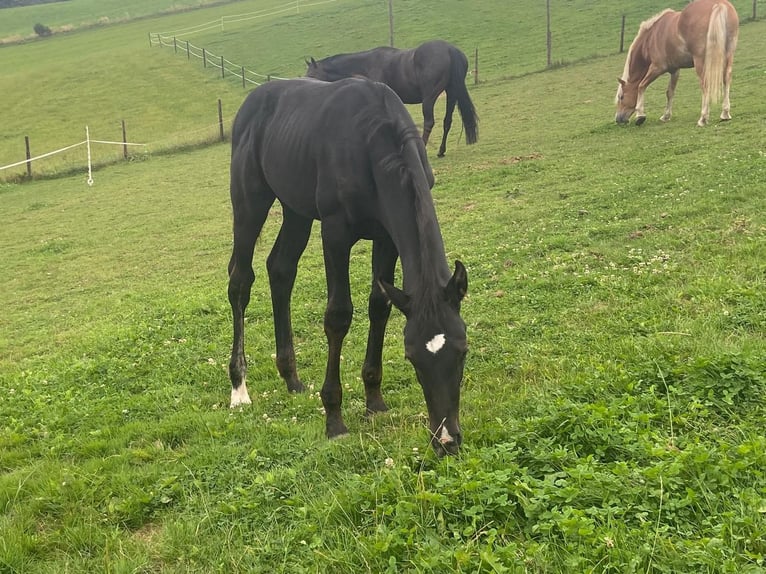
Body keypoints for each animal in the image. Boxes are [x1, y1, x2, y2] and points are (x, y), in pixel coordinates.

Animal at [225, 76, 472, 456]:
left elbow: (379, 306)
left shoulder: (387, 236)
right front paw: (334, 418)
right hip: (250, 201)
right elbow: (338, 316)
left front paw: (374, 399)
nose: (446, 440)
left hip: (295, 210)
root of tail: (251, 103)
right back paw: (239, 388)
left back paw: (291, 377)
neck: (373, 138)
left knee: (281, 269)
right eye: (412, 357)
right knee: (240, 281)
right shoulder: (335, 232)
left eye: (462, 352)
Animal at [308, 39, 480, 159]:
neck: (367, 65)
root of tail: (449, 49)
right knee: (447, 121)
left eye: (311, 74)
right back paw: (441, 151)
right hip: (452, 93)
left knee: (429, 122)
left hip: (429, 97)